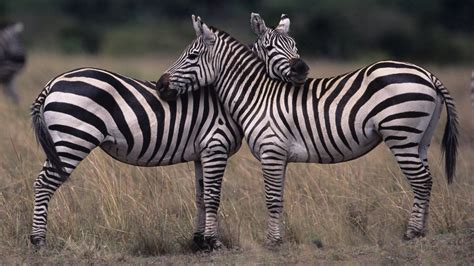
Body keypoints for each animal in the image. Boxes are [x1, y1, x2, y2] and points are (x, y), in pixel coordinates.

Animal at [29, 67, 243, 249]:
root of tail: (53, 82)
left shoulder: (202, 153)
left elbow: (201, 197)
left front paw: (199, 242)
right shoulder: (216, 146)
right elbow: (213, 196)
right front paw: (214, 242)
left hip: (60, 144)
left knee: (41, 182)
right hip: (73, 139)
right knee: (44, 183)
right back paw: (38, 240)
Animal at [156, 15, 460, 246]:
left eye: (192, 56)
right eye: (270, 47)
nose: (160, 85)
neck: (258, 94)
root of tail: (426, 73)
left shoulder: (271, 151)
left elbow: (272, 199)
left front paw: (273, 242)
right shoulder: (280, 156)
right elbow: (279, 197)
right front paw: (278, 238)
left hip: (401, 134)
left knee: (421, 181)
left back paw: (413, 233)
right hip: (420, 139)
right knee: (426, 180)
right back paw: (421, 230)